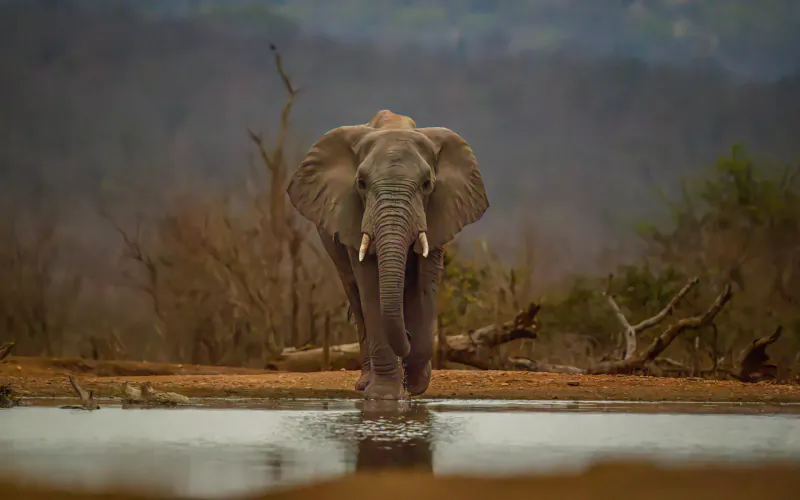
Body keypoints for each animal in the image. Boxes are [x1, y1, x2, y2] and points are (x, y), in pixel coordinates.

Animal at [287, 109, 489, 400]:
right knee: (355, 295)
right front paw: (386, 396)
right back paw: (364, 383)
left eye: (427, 184)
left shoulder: (440, 212)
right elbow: (370, 285)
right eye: (361, 183)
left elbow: (424, 285)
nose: (407, 336)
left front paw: (414, 386)